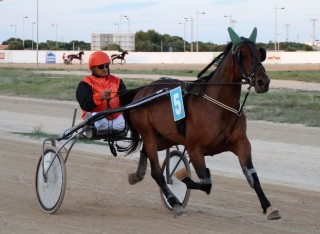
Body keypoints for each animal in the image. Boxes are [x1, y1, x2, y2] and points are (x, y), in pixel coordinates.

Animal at [125, 27, 280, 219]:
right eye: (241, 55)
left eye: (260, 53)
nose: (262, 82)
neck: (219, 106)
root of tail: (142, 92)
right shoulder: (195, 148)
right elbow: (206, 182)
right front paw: (182, 177)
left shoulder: (242, 144)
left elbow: (252, 176)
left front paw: (269, 206)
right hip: (148, 134)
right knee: (158, 173)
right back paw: (174, 202)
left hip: (164, 137)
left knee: (147, 155)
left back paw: (137, 175)